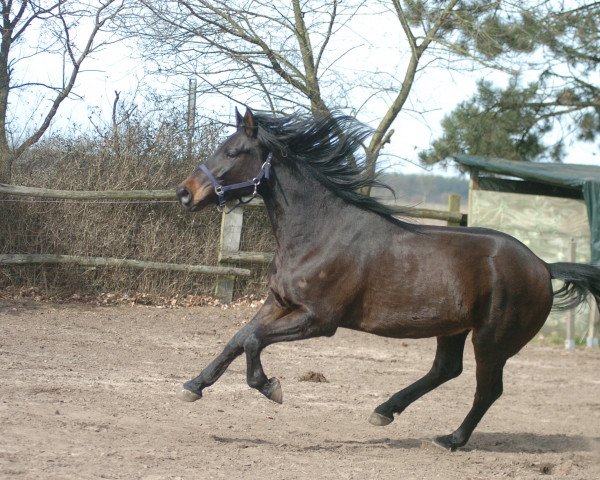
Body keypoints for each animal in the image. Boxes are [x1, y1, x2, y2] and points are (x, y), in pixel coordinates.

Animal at [175, 108, 600, 450]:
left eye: (233, 152)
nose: (184, 193)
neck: (319, 231)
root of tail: (543, 266)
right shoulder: (279, 302)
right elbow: (239, 337)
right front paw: (193, 387)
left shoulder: (319, 320)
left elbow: (253, 340)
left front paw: (270, 387)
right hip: (454, 327)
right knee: (447, 370)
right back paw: (384, 411)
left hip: (492, 339)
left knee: (488, 389)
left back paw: (451, 439)